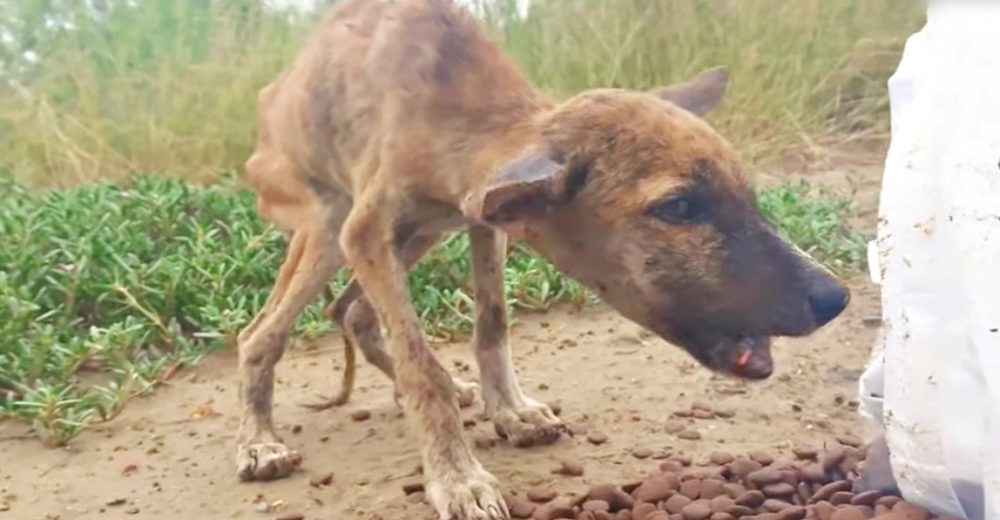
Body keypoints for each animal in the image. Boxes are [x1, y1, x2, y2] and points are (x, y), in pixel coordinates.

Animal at [236, 2, 852, 516]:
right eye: (678, 207)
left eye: (746, 194)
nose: (836, 298)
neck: (452, 106)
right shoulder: (368, 232)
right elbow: (421, 365)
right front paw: (457, 477)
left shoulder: (486, 222)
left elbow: (492, 324)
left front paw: (510, 409)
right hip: (327, 226)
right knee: (261, 333)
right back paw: (260, 441)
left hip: (413, 238)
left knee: (351, 311)